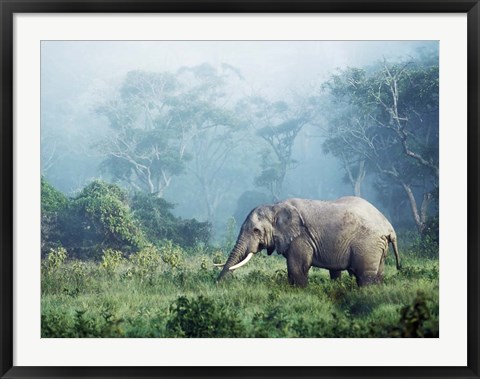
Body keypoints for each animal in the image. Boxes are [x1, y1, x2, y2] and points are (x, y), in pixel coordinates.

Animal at [218, 196, 402, 288]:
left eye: (256, 231)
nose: (218, 284)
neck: (275, 206)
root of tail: (389, 227)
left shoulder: (301, 237)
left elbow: (297, 268)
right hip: (377, 246)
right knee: (377, 274)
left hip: (368, 244)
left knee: (364, 275)